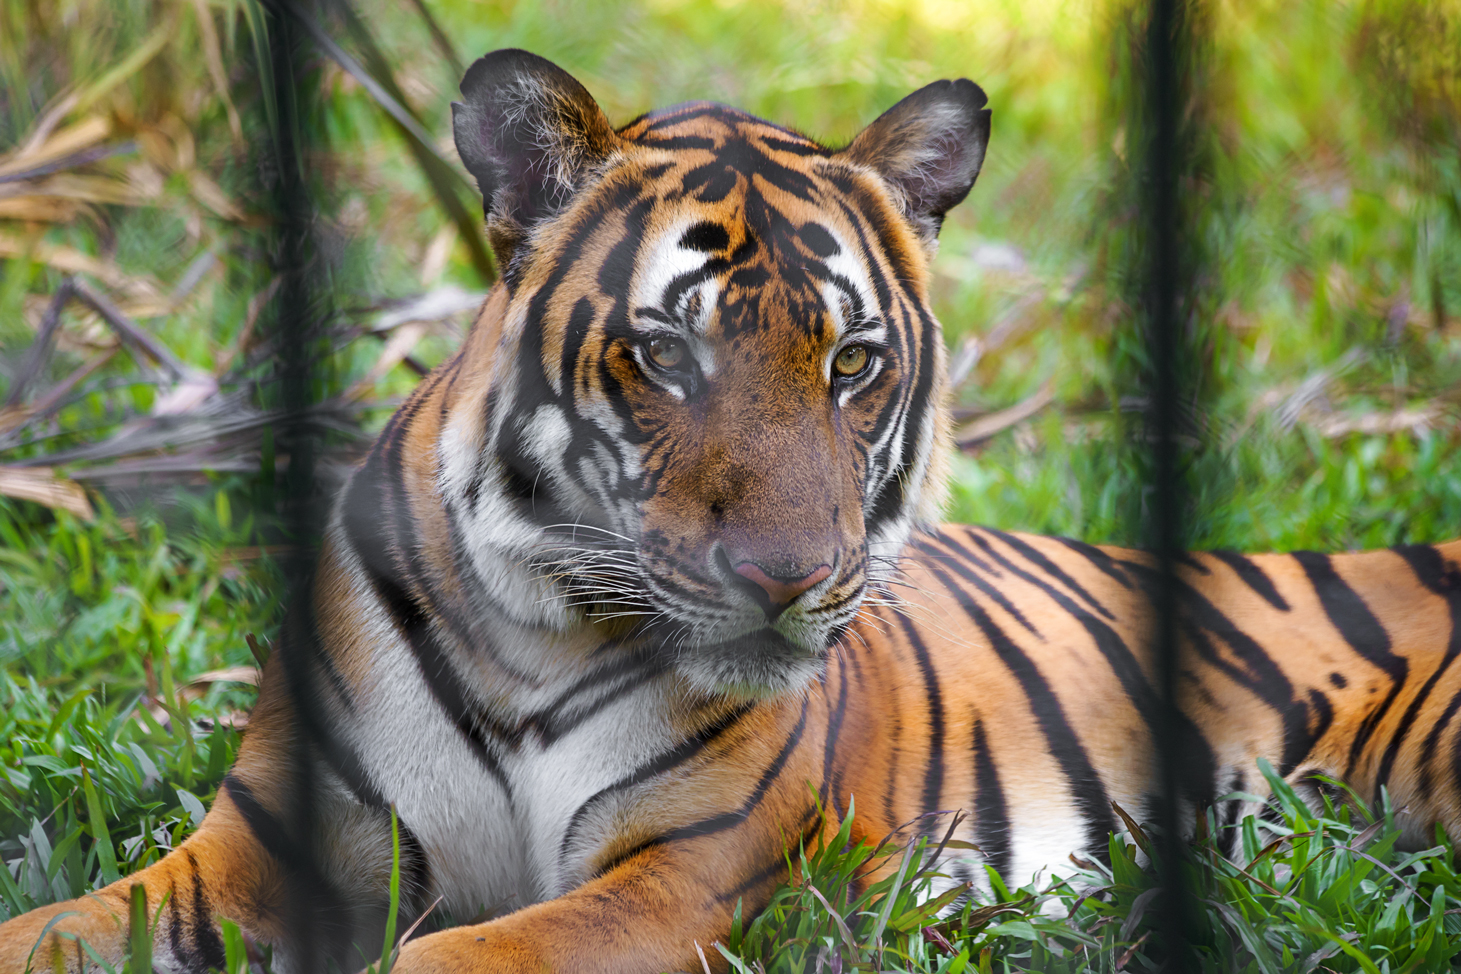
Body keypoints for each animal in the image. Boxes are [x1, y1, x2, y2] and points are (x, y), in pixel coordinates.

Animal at [4, 46, 1461, 974]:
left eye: (853, 363)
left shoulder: (682, 873)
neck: (536, 631)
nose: (789, 577)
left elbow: (459, 956)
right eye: (665, 355)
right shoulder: (261, 844)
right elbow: (56, 928)